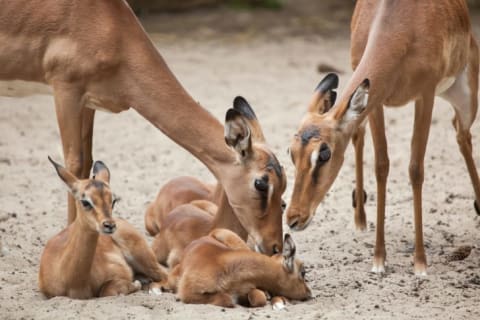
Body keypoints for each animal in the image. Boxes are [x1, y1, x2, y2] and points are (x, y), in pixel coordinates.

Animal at [38, 158, 168, 298]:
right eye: (85, 201)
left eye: (113, 200)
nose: (109, 225)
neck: (74, 282)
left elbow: (106, 290)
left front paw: (136, 285)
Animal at [286, 0, 478, 276]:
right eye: (291, 153)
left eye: (324, 153)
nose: (293, 219)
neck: (400, 27)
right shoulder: (375, 102)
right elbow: (381, 166)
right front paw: (378, 259)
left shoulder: (426, 94)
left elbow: (415, 169)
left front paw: (420, 262)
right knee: (360, 135)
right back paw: (360, 220)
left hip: (465, 97)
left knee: (463, 135)